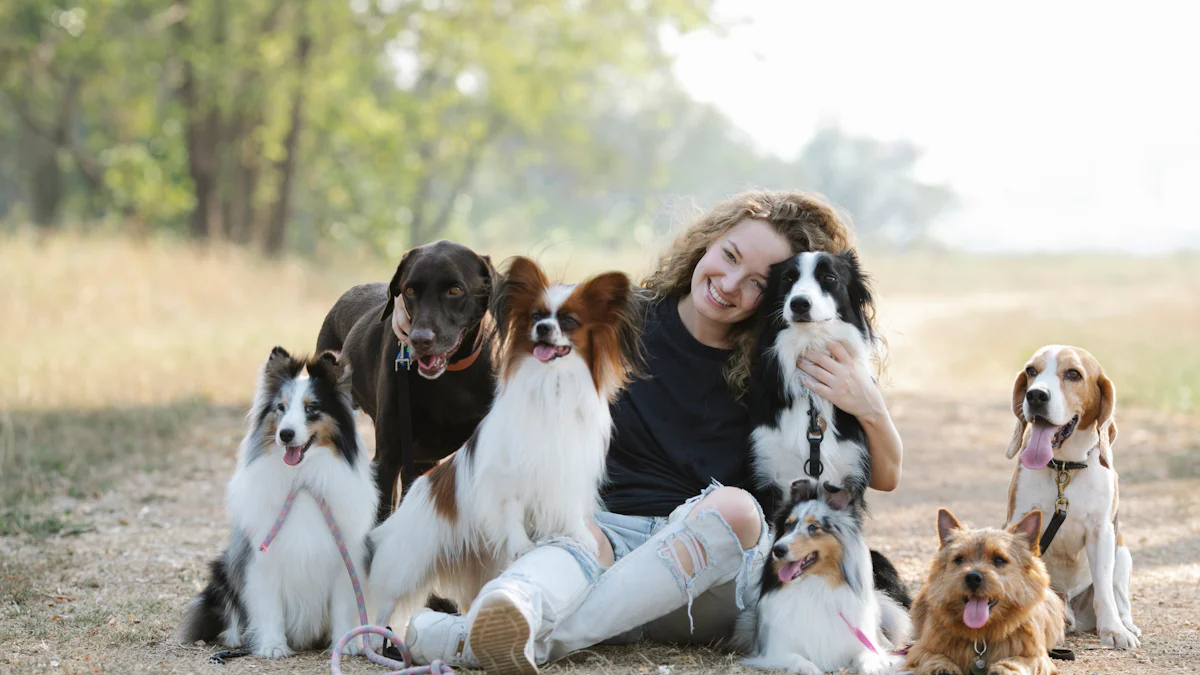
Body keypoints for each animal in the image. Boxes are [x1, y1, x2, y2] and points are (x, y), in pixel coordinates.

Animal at [175, 345, 374, 658]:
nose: (285, 434)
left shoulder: (345, 557)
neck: (302, 480)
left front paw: (346, 643)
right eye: (280, 408)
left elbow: (343, 607)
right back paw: (235, 639)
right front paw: (272, 646)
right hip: (223, 570)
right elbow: (270, 606)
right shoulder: (262, 559)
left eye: (311, 408)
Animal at [364, 254, 643, 638]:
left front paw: (580, 538)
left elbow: (570, 510)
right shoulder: (507, 476)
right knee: (385, 603)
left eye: (569, 321)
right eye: (536, 316)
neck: (552, 384)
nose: (543, 329)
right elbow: (512, 512)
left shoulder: (569, 469)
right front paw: (523, 546)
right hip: (409, 563)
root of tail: (418, 488)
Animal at [734, 478, 902, 672]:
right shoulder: (775, 651)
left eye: (813, 527)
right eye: (787, 525)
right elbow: (798, 659)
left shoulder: (859, 644)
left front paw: (874, 667)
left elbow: (867, 656)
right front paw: (810, 668)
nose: (778, 550)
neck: (814, 585)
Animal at [902, 506, 1065, 672]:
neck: (981, 635)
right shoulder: (921, 649)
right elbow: (932, 656)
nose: (972, 577)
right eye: (959, 559)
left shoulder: (1037, 657)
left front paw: (1003, 669)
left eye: (999, 559)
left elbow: (1019, 660)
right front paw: (942, 667)